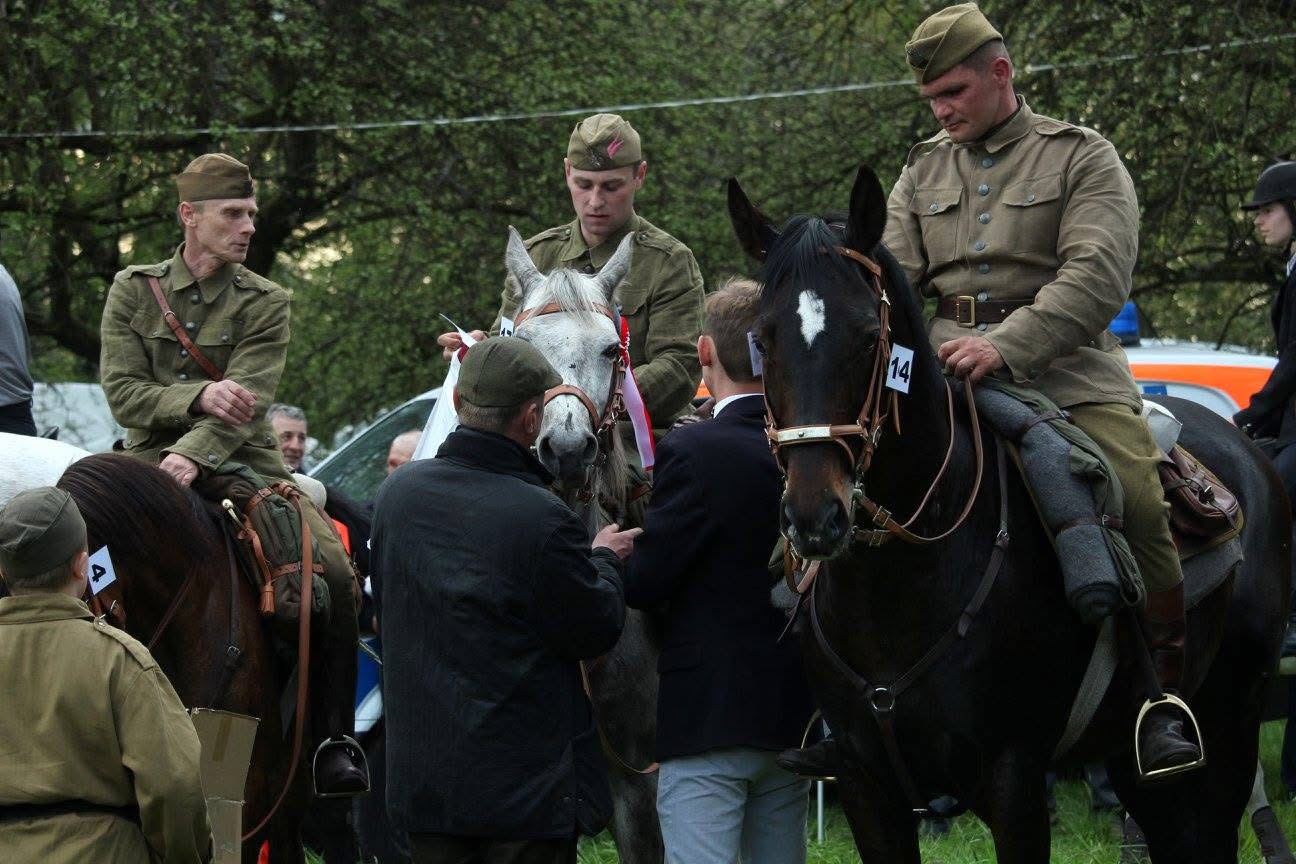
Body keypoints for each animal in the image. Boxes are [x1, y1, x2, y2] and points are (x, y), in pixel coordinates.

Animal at [727, 164, 1289, 862]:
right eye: (763, 338)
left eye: (867, 337)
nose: (814, 516)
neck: (903, 582)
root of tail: (1248, 451)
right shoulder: (865, 789)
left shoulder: (1014, 783)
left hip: (1228, 733)